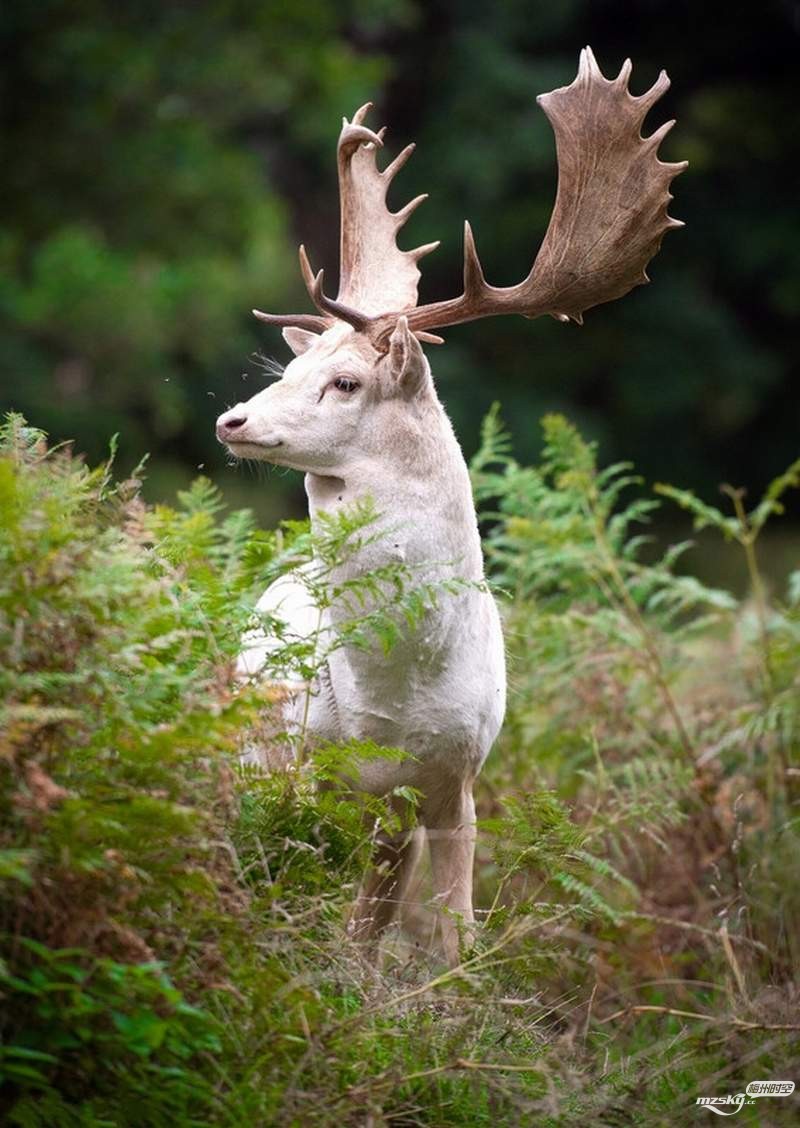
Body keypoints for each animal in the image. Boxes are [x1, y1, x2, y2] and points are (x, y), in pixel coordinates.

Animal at [218, 46, 686, 961]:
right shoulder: (309, 764)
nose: (233, 420)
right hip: (253, 749)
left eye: (345, 380)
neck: (396, 697)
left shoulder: (455, 777)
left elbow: (454, 938)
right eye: (285, 370)